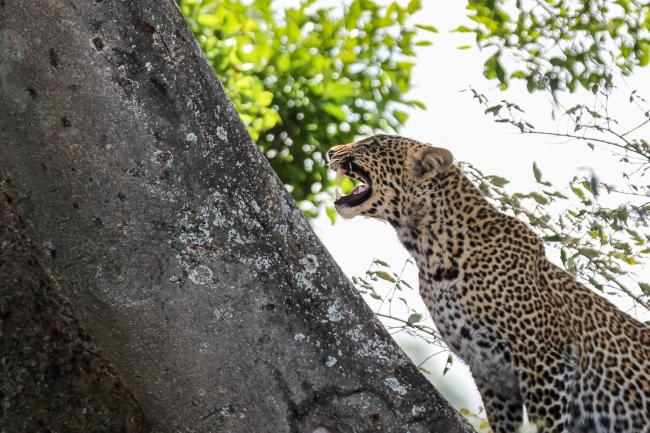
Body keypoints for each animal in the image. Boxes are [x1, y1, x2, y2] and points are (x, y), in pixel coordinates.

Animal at [326, 134, 648, 432]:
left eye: (371, 143)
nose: (330, 151)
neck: (429, 249)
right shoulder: (488, 369)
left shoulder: (547, 360)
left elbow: (547, 424)